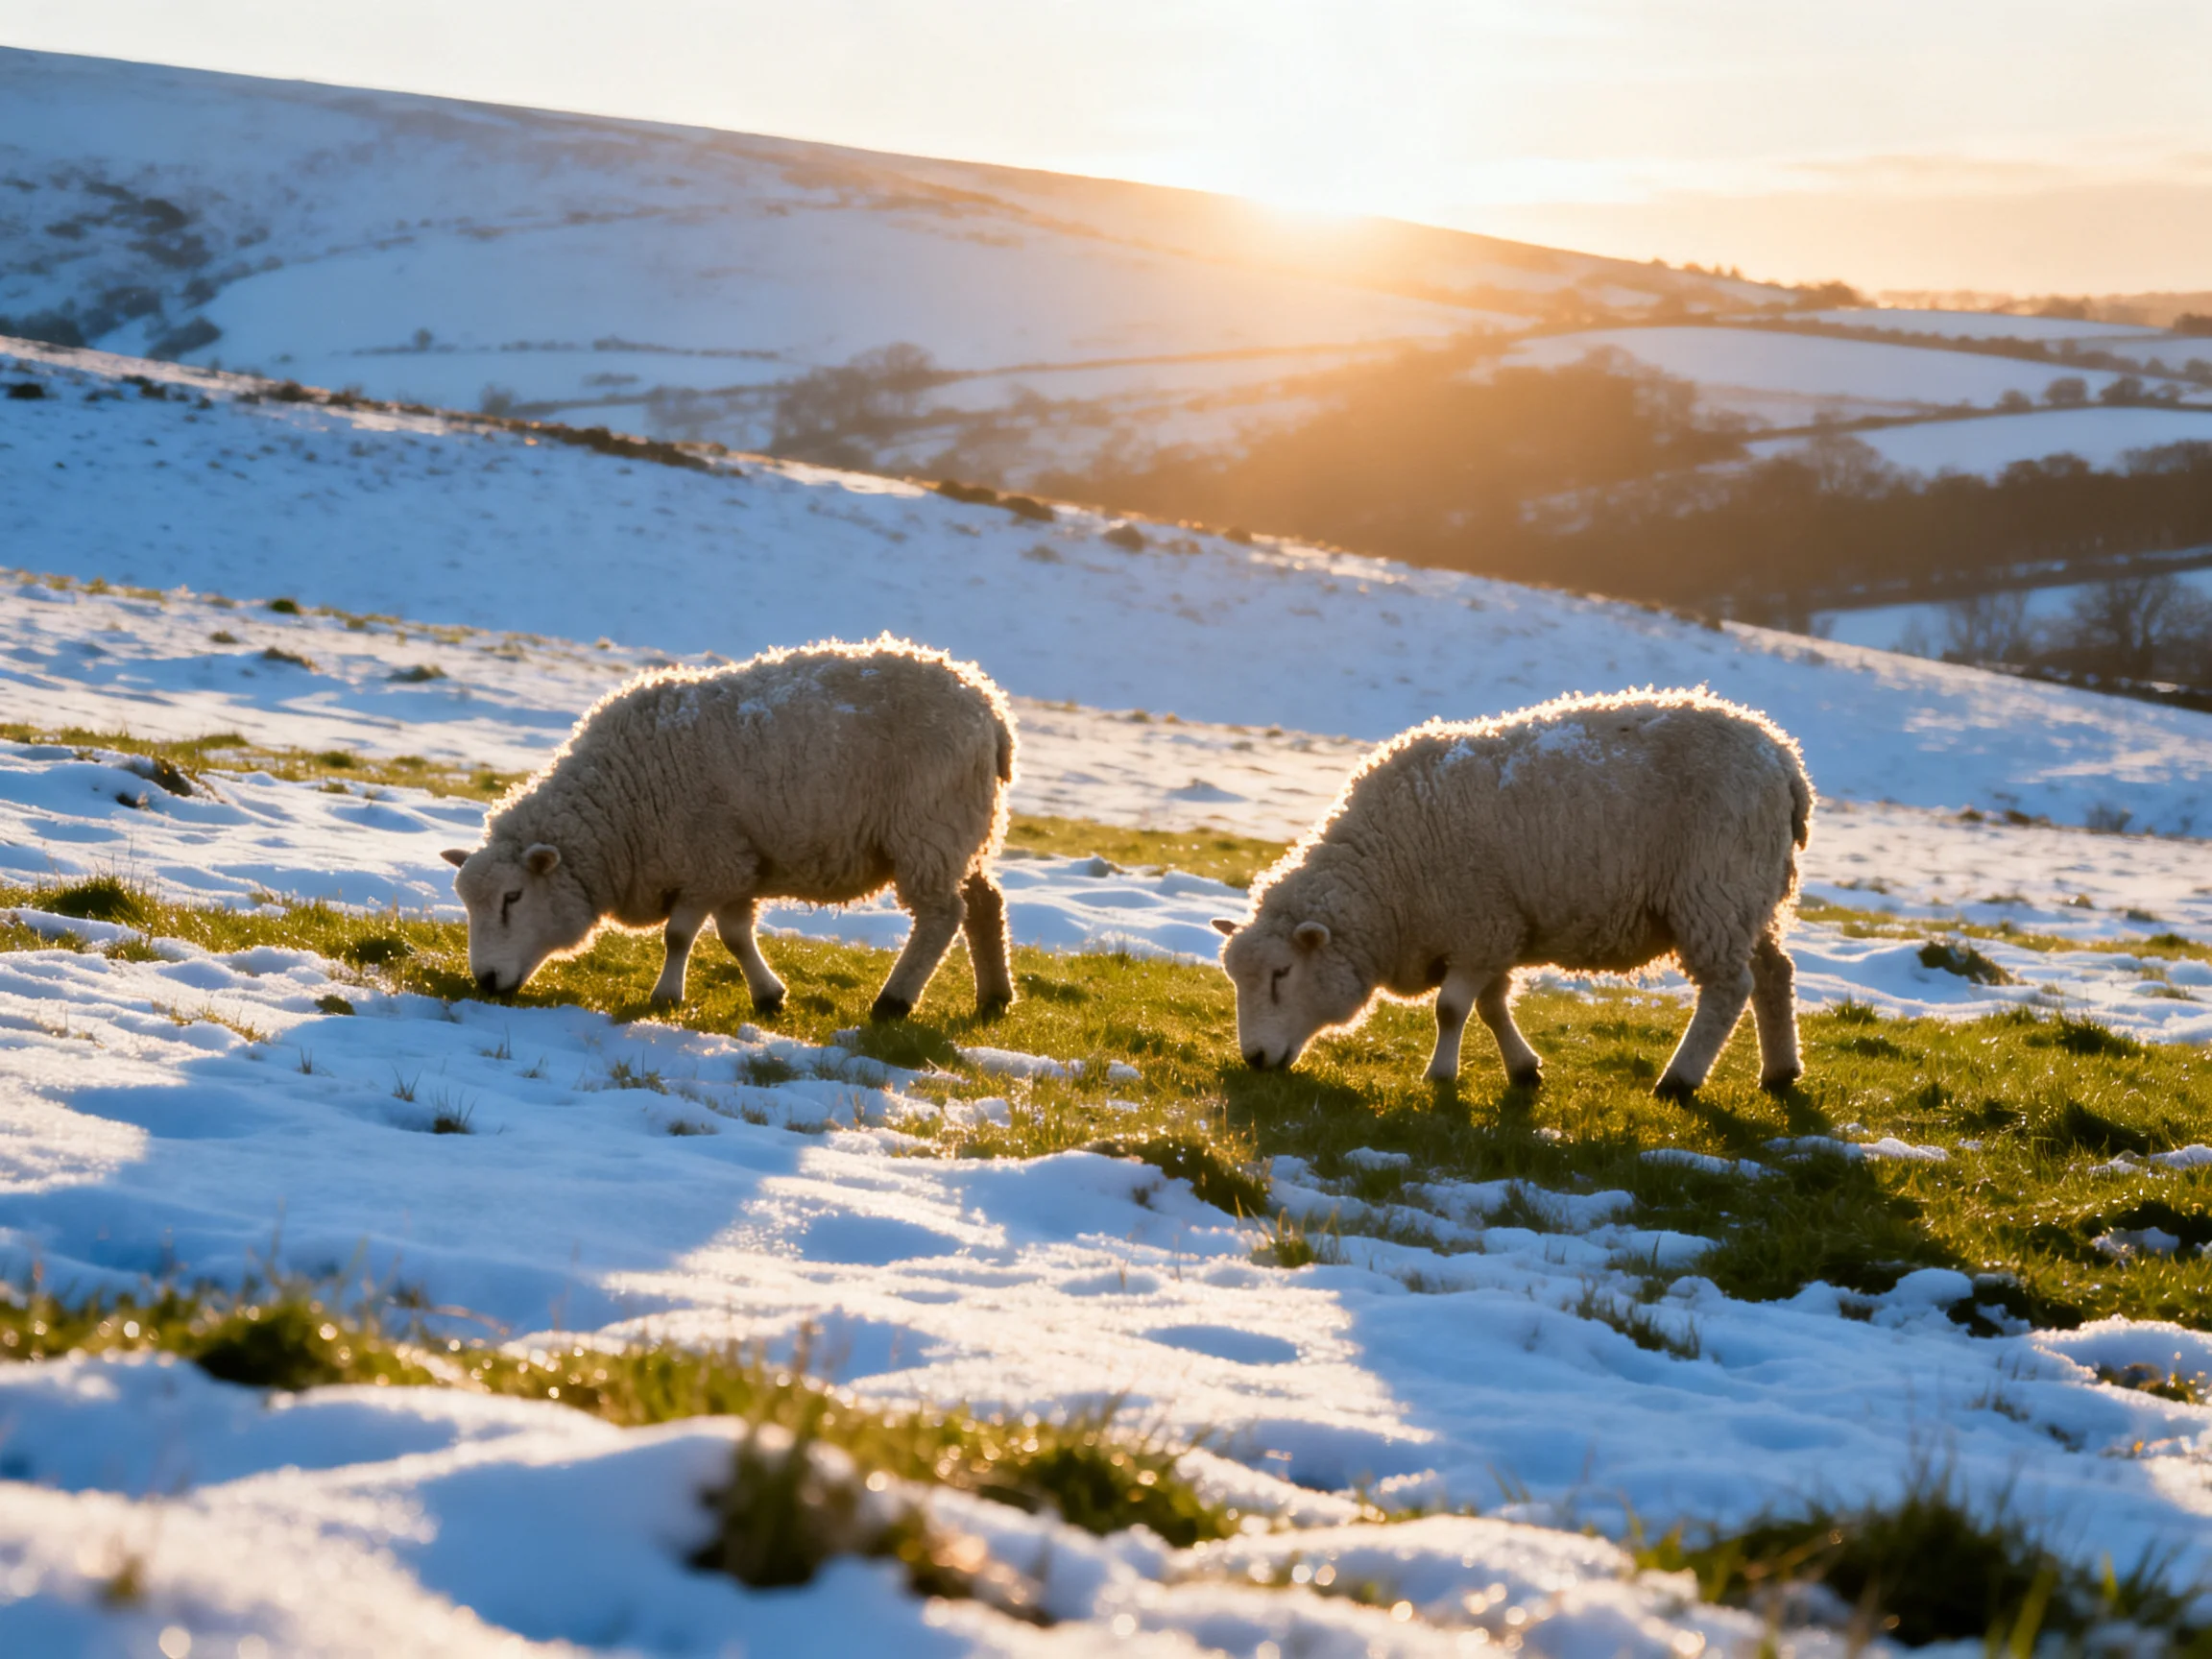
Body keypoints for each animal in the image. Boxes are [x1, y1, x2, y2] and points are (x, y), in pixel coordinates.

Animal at [440, 637, 1017, 1022]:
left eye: (513, 898)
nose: (486, 982)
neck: (619, 804)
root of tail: (988, 703)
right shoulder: (736, 863)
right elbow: (736, 936)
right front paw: (768, 996)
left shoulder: (709, 859)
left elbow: (678, 935)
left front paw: (666, 997)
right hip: (960, 829)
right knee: (985, 904)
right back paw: (994, 997)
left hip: (929, 826)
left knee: (941, 916)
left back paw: (894, 1002)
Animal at [1212, 689, 1813, 1097]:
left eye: (1282, 974)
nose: (1255, 1059)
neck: (1387, 875)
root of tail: (1782, 754)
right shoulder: (1497, 931)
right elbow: (1491, 1006)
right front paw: (1523, 1069)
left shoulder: (1479, 927)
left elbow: (1452, 1009)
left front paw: (1440, 1075)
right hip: (1748, 895)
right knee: (1774, 974)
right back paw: (1780, 1071)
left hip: (1714, 887)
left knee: (1729, 988)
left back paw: (1679, 1081)